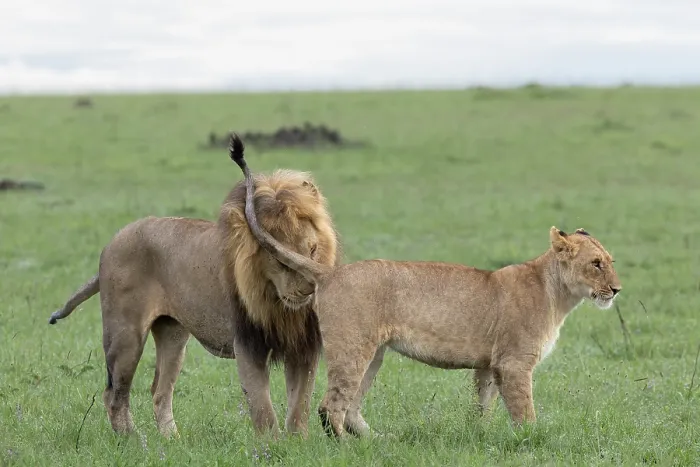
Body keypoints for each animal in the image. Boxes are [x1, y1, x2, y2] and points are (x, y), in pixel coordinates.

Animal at [48, 139, 340, 438]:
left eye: (312, 250)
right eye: (279, 259)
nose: (310, 290)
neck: (277, 302)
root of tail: (111, 243)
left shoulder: (303, 346)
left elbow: (299, 406)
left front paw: (297, 442)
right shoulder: (248, 345)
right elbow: (263, 409)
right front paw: (272, 444)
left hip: (173, 334)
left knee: (159, 391)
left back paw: (171, 441)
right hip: (125, 334)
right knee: (115, 394)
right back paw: (134, 441)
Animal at [230, 140, 623, 438]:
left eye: (611, 260)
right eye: (596, 264)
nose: (617, 290)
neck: (558, 294)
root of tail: (329, 273)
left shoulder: (491, 364)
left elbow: (483, 406)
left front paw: (480, 437)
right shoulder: (515, 363)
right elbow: (524, 412)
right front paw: (531, 439)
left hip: (375, 353)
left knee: (352, 407)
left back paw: (378, 442)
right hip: (353, 347)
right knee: (331, 407)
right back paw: (346, 448)